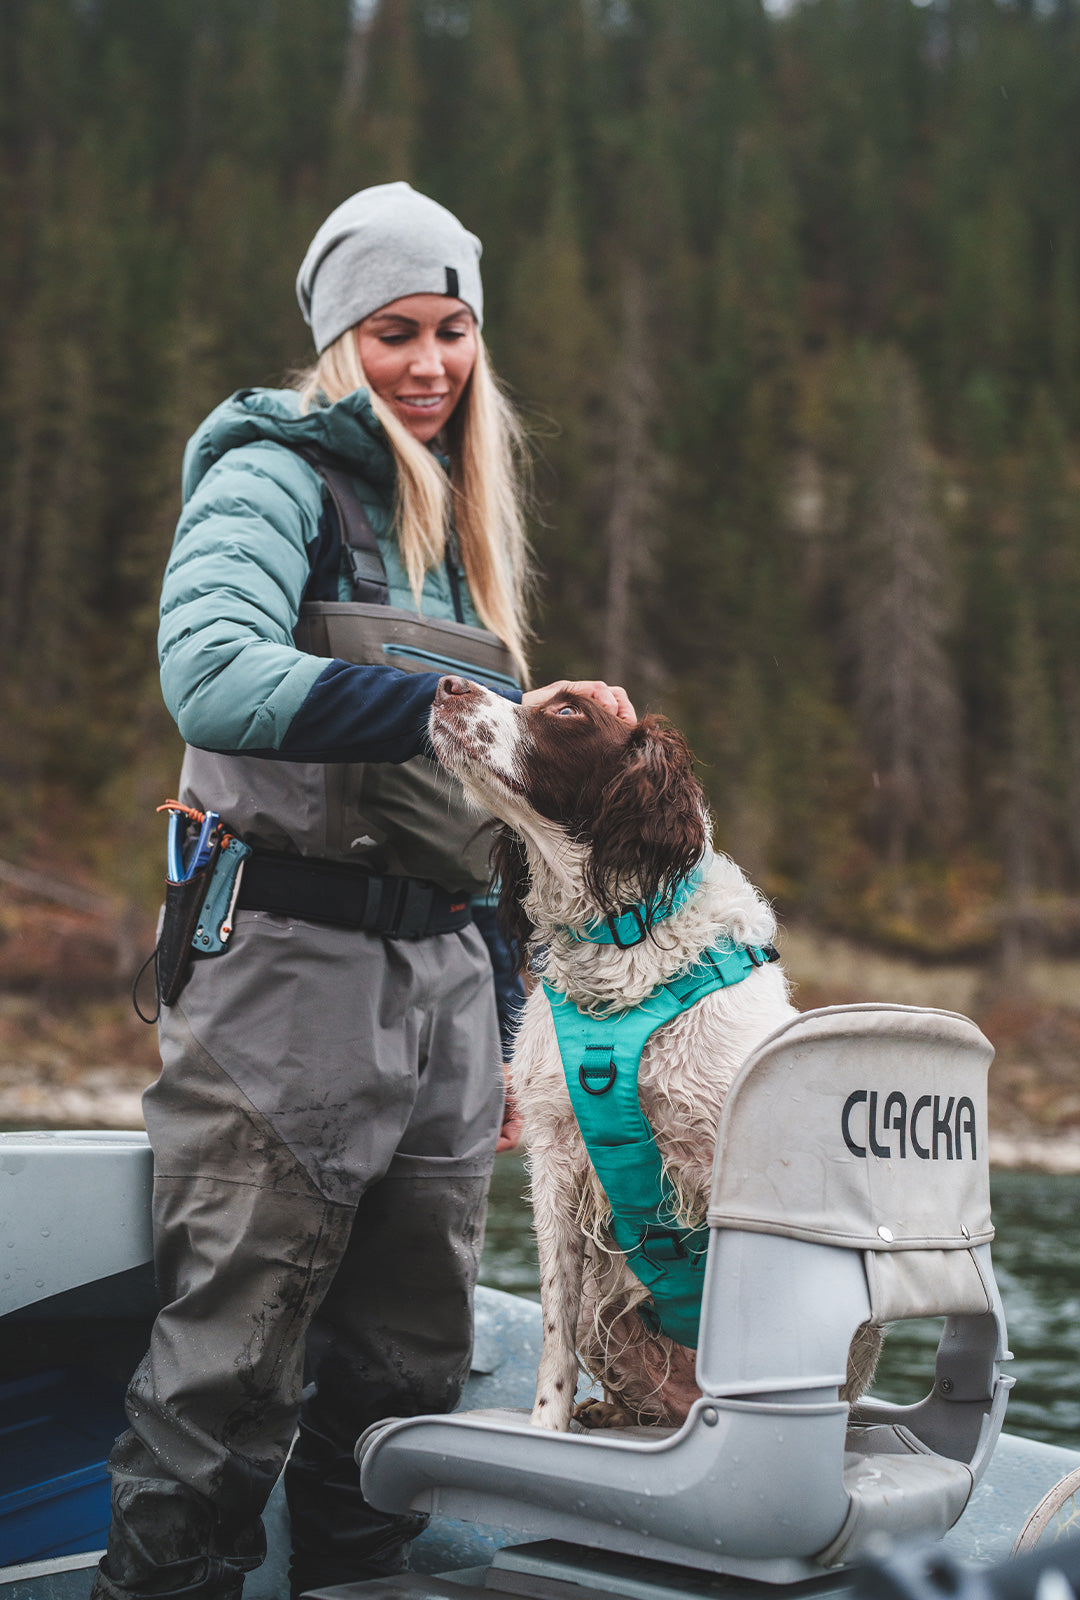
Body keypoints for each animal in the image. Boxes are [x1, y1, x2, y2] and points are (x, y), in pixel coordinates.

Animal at [432, 681, 876, 1433]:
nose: (446, 686)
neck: (621, 943)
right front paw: (548, 1427)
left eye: (568, 710)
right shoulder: (556, 1159)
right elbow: (552, 1327)